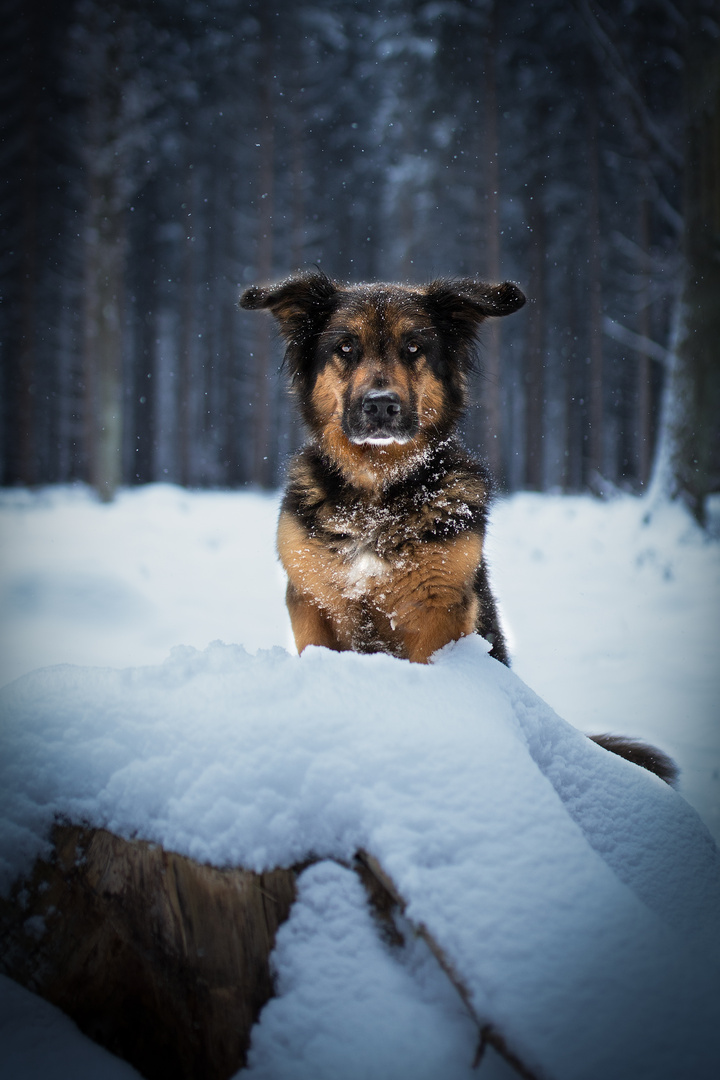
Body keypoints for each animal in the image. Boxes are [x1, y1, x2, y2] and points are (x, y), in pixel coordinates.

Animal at [239, 272, 677, 786]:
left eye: (414, 347)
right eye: (345, 347)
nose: (380, 407)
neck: (377, 494)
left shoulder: (437, 611)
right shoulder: (313, 604)